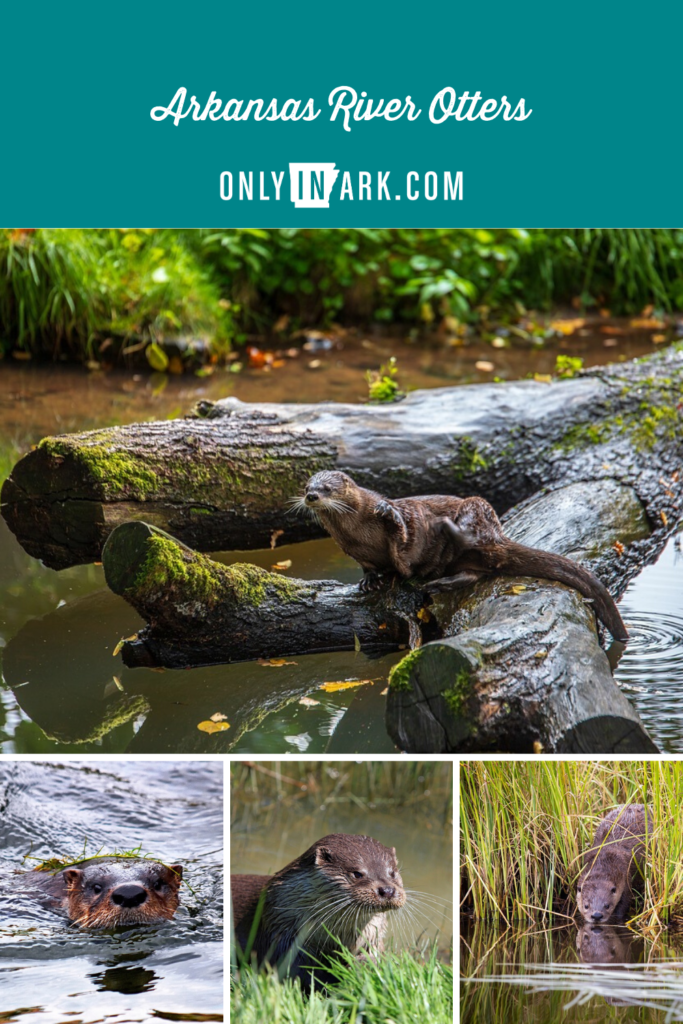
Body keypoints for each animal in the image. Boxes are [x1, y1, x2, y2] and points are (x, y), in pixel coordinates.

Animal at [297, 470, 628, 641]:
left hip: (477, 510)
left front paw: (389, 517)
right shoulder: (351, 549)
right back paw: (439, 583)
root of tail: (499, 536)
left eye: (326, 488)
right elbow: (368, 567)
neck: (358, 533)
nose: (311, 496)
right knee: (475, 573)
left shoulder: (402, 526)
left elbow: (402, 541)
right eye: (307, 486)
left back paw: (444, 533)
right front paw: (368, 581)